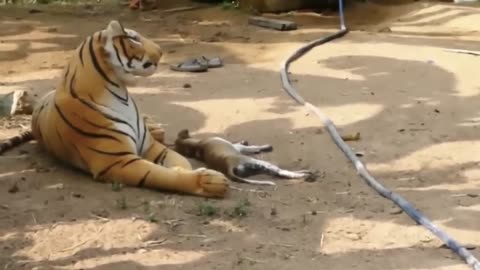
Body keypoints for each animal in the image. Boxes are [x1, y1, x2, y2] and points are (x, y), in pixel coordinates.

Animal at [174, 130, 316, 186]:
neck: (196, 146)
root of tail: (227, 166)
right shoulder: (238, 148)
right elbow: (251, 147)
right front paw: (264, 146)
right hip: (257, 162)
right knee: (281, 172)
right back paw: (303, 174)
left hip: (254, 168)